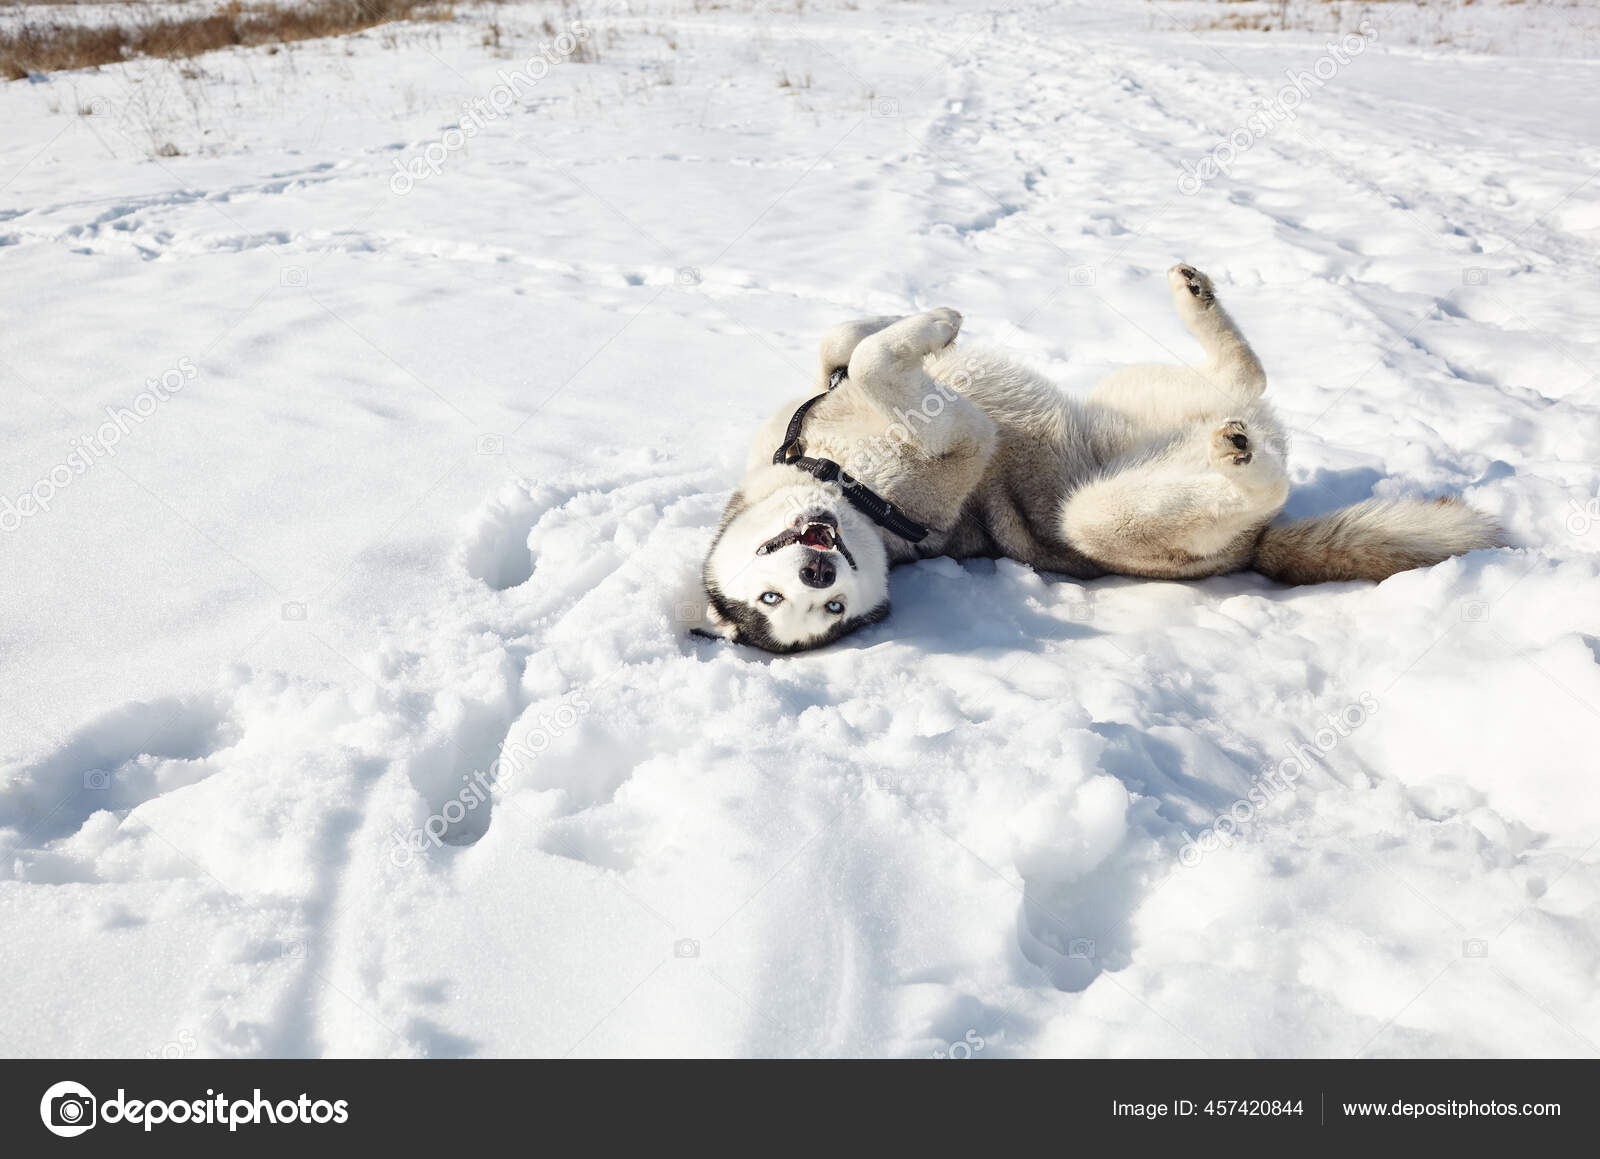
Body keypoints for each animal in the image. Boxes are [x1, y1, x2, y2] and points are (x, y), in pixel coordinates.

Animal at [700, 265, 1497, 656]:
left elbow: (845, 343)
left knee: (1247, 379)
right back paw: (1239, 459)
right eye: (784, 602)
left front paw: (932, 321)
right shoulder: (966, 441)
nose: (820, 570)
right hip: (1100, 515)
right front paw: (931, 326)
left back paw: (1196, 297)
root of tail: (1256, 547)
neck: (829, 470)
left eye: (806, 597)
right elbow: (869, 363)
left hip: (1132, 397)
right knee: (1255, 461)